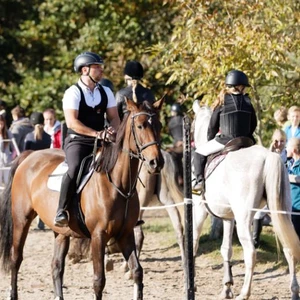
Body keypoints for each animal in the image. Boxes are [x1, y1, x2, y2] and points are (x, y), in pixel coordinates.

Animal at [0, 99, 164, 300]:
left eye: (159, 126)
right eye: (140, 126)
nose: (156, 162)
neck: (118, 184)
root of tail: (29, 155)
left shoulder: (126, 234)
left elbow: (137, 271)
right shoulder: (98, 236)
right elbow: (99, 280)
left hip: (61, 232)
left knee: (56, 266)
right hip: (21, 220)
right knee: (16, 258)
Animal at [192, 101, 300, 300]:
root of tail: (268, 156)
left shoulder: (199, 210)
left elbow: (194, 243)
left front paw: (193, 284)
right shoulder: (228, 217)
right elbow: (226, 249)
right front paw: (226, 287)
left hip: (244, 219)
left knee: (250, 251)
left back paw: (244, 293)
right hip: (281, 213)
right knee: (289, 249)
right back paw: (294, 291)